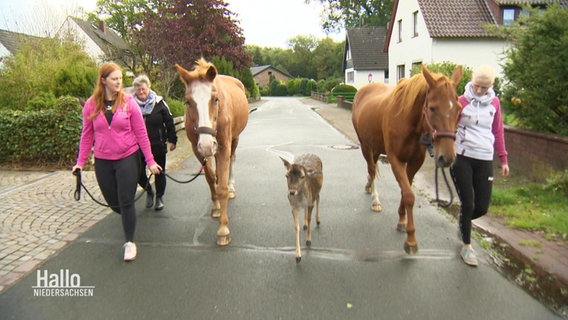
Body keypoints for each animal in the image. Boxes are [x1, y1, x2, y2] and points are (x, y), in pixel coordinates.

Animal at [175, 59, 248, 245]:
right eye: (188, 102)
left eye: (215, 99)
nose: (207, 144)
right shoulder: (198, 149)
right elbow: (209, 177)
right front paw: (216, 207)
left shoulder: (223, 146)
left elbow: (221, 187)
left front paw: (223, 230)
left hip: (233, 140)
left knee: (232, 159)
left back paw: (231, 188)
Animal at [352, 65, 464, 254]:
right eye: (432, 108)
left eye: (458, 108)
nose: (447, 157)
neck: (408, 121)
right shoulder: (395, 160)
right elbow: (409, 196)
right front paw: (411, 239)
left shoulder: (414, 163)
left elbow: (406, 192)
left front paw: (402, 220)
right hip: (365, 145)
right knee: (372, 169)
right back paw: (375, 200)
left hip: (375, 147)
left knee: (372, 168)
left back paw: (368, 187)